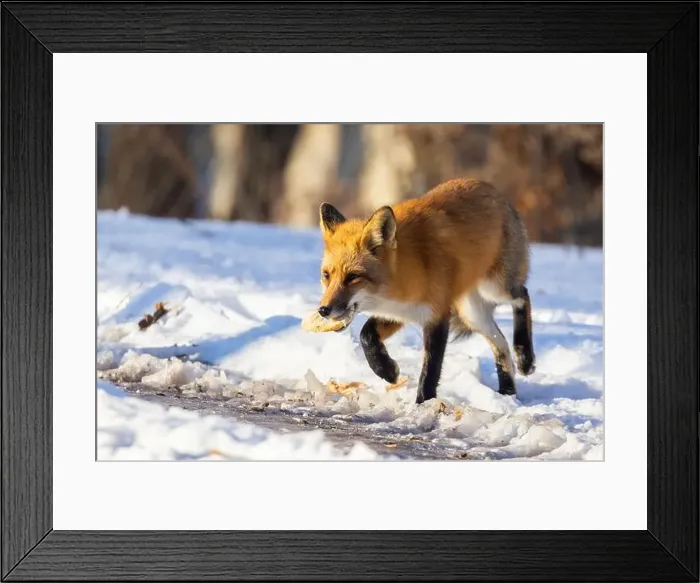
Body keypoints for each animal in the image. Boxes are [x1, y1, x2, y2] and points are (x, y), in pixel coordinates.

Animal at [316, 178, 536, 403]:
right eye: (327, 275)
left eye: (352, 277)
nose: (323, 310)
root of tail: (491, 188)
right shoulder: (399, 313)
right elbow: (366, 335)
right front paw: (387, 370)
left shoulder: (437, 316)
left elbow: (431, 370)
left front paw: (423, 403)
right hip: (472, 314)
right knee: (500, 345)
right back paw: (508, 391)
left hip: (494, 288)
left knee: (523, 296)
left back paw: (525, 357)